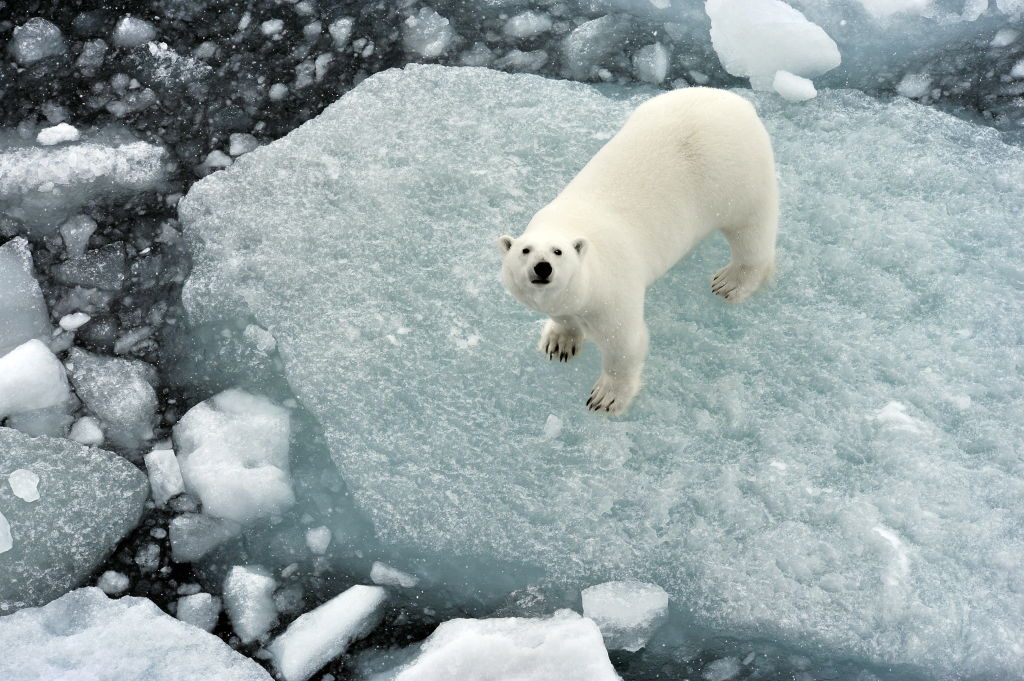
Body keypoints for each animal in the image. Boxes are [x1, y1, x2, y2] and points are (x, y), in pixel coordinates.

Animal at [501, 84, 774, 413]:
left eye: (558, 252)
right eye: (525, 251)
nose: (543, 268)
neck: (571, 224)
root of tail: (736, 101)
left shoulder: (613, 290)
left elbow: (624, 343)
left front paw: (606, 397)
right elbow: (563, 315)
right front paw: (559, 342)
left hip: (735, 176)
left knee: (751, 229)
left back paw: (731, 281)